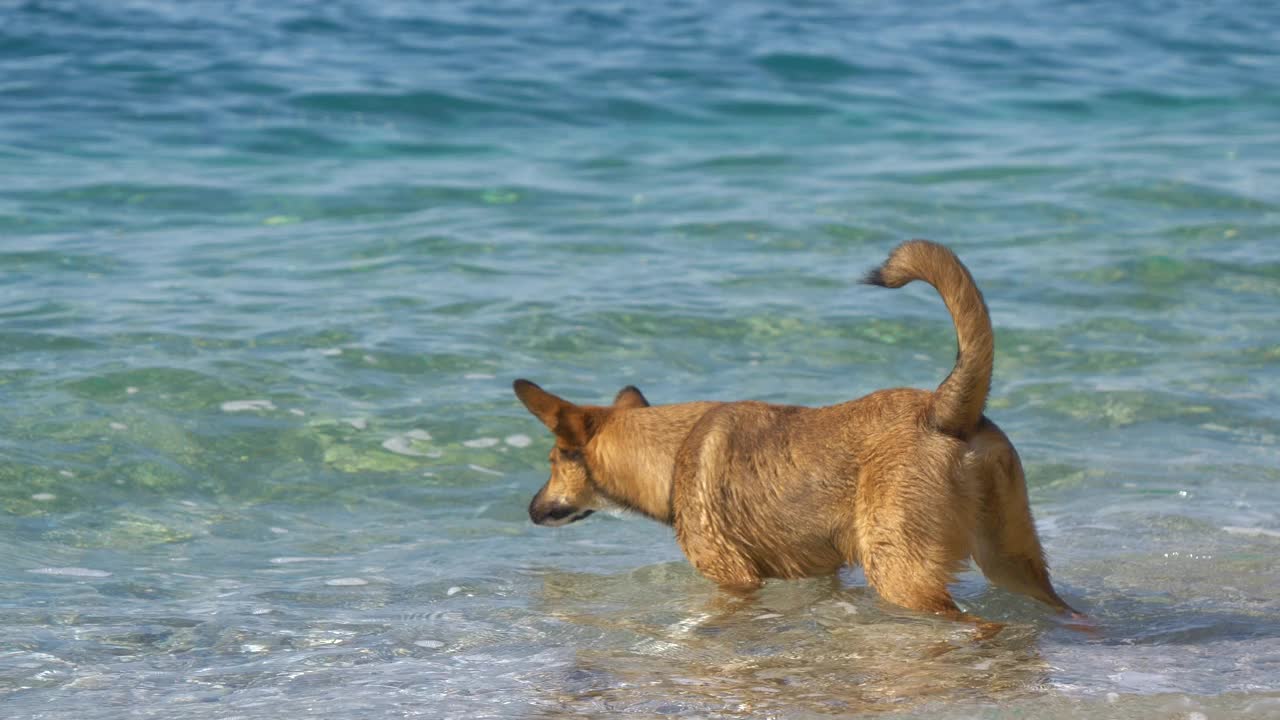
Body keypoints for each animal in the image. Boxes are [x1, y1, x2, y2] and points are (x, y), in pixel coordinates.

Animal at [514, 238, 1075, 620]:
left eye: (552, 462)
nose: (530, 510)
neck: (671, 454)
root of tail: (944, 409)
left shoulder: (735, 581)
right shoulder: (819, 573)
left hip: (902, 576)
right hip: (1013, 563)